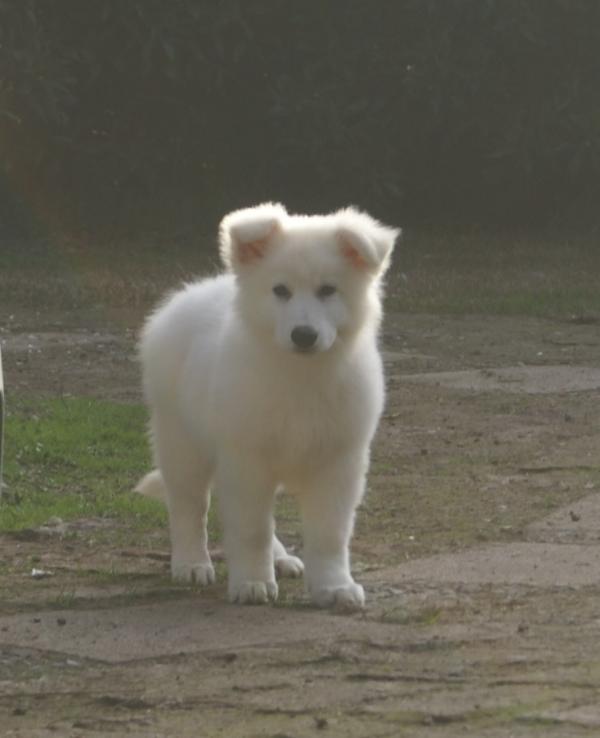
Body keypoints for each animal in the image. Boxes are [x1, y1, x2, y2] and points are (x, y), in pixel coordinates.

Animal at [136, 203, 398, 608]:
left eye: (328, 290)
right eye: (280, 291)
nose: (303, 335)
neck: (300, 376)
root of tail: (193, 293)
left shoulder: (339, 462)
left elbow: (329, 534)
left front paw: (334, 586)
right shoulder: (247, 459)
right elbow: (251, 529)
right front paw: (252, 582)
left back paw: (283, 559)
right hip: (181, 443)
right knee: (188, 508)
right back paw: (192, 563)